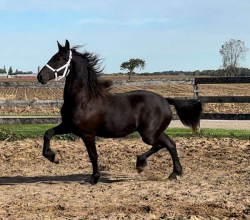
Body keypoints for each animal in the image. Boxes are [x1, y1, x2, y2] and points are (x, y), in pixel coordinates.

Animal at [37, 40, 202, 184]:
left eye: (59, 58)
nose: (40, 77)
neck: (84, 100)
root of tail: (165, 100)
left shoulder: (87, 134)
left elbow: (93, 155)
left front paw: (94, 178)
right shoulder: (68, 126)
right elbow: (48, 133)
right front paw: (52, 157)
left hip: (148, 134)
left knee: (162, 145)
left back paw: (142, 164)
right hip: (153, 132)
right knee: (170, 144)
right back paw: (173, 172)